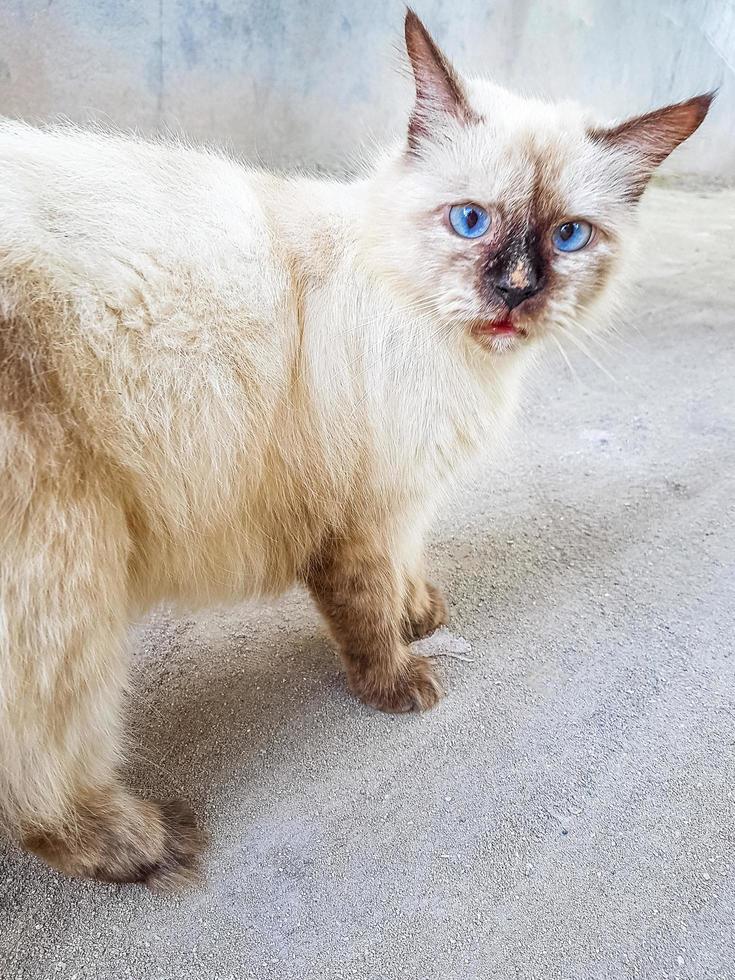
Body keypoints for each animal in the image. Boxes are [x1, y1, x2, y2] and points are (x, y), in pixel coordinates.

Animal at [0, 9, 712, 896]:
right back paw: (137, 842)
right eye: (470, 221)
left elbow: (404, 571)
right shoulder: (366, 506)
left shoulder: (406, 499)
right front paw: (397, 682)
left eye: (569, 237)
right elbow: (367, 609)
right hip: (70, 575)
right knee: (37, 772)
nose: (514, 291)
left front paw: (419, 611)